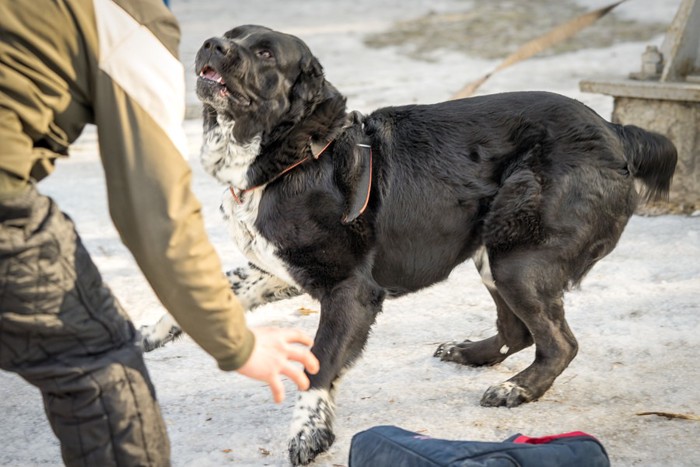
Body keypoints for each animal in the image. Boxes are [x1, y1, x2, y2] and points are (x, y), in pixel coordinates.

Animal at [141, 26, 672, 467]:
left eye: (265, 52)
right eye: (231, 35)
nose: (211, 44)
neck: (296, 155)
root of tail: (614, 131)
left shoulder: (350, 290)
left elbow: (319, 363)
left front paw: (309, 433)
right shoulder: (279, 269)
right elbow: (221, 287)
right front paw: (154, 331)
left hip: (516, 258)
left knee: (559, 343)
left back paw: (516, 390)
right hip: (491, 250)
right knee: (518, 331)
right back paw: (471, 354)